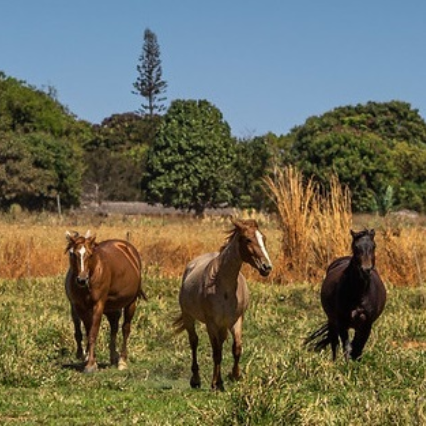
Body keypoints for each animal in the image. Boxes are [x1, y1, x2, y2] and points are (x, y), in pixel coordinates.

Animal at [65, 231, 146, 374]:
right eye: (72, 254)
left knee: (125, 328)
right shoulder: (80, 307)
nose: (82, 279)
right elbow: (87, 331)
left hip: (131, 303)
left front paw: (91, 365)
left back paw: (122, 361)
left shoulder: (98, 305)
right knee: (114, 327)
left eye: (90, 254)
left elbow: (93, 333)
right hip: (112, 308)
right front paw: (90, 359)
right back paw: (113, 357)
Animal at [173, 218, 272, 392]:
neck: (223, 286)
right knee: (194, 341)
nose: (266, 267)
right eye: (248, 239)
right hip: (188, 317)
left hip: (223, 325)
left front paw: (235, 375)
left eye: (263, 238)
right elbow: (217, 353)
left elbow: (236, 348)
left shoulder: (236, 320)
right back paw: (196, 380)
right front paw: (216, 383)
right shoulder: (211, 323)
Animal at [306, 228, 386, 362]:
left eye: (374, 246)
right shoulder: (342, 322)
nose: (366, 269)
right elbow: (347, 347)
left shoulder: (366, 324)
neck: (359, 294)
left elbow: (358, 347)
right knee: (334, 342)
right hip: (333, 321)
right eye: (355, 247)